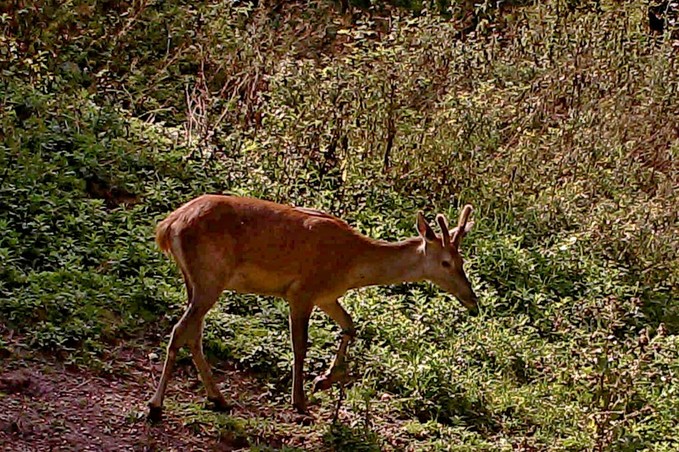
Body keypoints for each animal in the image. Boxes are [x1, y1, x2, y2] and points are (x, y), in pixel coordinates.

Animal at [149, 194, 478, 420]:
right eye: (446, 263)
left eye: (462, 261)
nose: (473, 301)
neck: (352, 265)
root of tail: (168, 226)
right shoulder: (301, 291)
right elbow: (300, 345)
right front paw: (300, 400)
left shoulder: (326, 295)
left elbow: (350, 325)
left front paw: (324, 380)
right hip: (210, 276)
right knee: (180, 330)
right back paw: (156, 406)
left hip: (195, 280)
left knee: (193, 333)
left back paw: (218, 398)